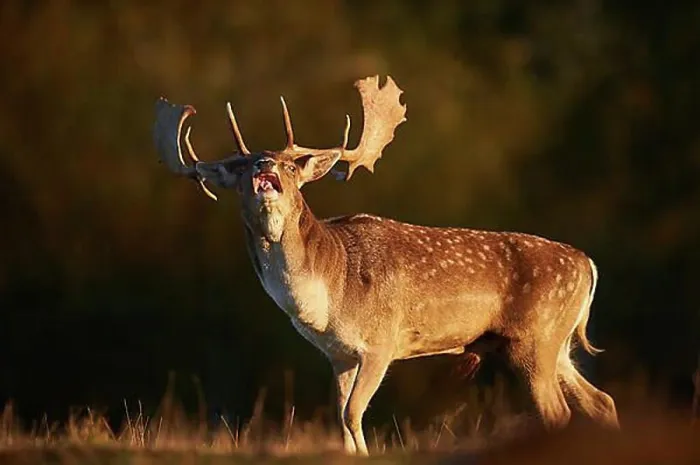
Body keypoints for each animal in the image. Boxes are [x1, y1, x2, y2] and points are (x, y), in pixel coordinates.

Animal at [153, 75, 619, 455]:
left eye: (290, 166)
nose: (265, 165)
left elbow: (353, 413)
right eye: (243, 166)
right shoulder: (338, 354)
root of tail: (588, 265)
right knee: (601, 400)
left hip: (535, 337)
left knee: (559, 413)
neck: (329, 290)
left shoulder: (381, 341)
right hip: (556, 342)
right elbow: (341, 416)